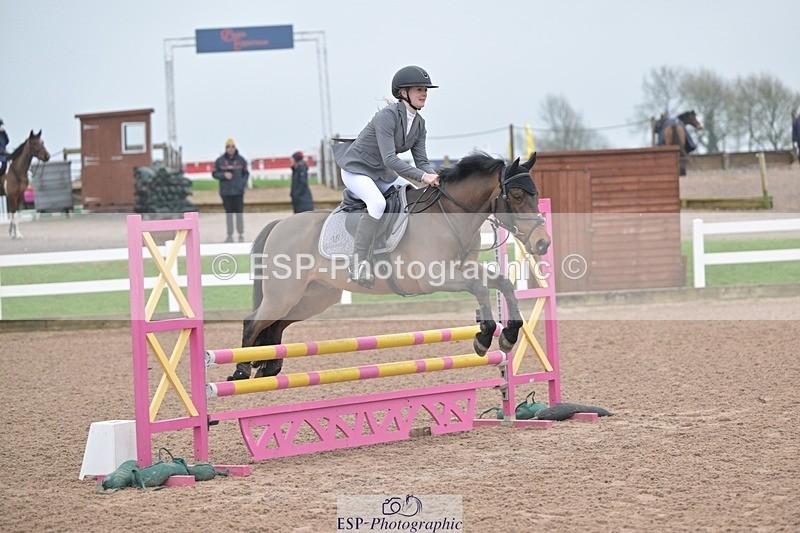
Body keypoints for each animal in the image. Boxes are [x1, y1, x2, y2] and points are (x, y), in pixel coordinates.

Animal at [230, 152, 552, 380]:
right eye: (518, 196)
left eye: (536, 194)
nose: (542, 243)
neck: (448, 215)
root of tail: (279, 224)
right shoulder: (434, 278)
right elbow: (479, 287)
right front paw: (484, 337)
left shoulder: (463, 268)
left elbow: (501, 282)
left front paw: (509, 336)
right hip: (284, 294)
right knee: (253, 322)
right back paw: (241, 371)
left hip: (313, 297)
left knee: (276, 325)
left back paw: (270, 367)